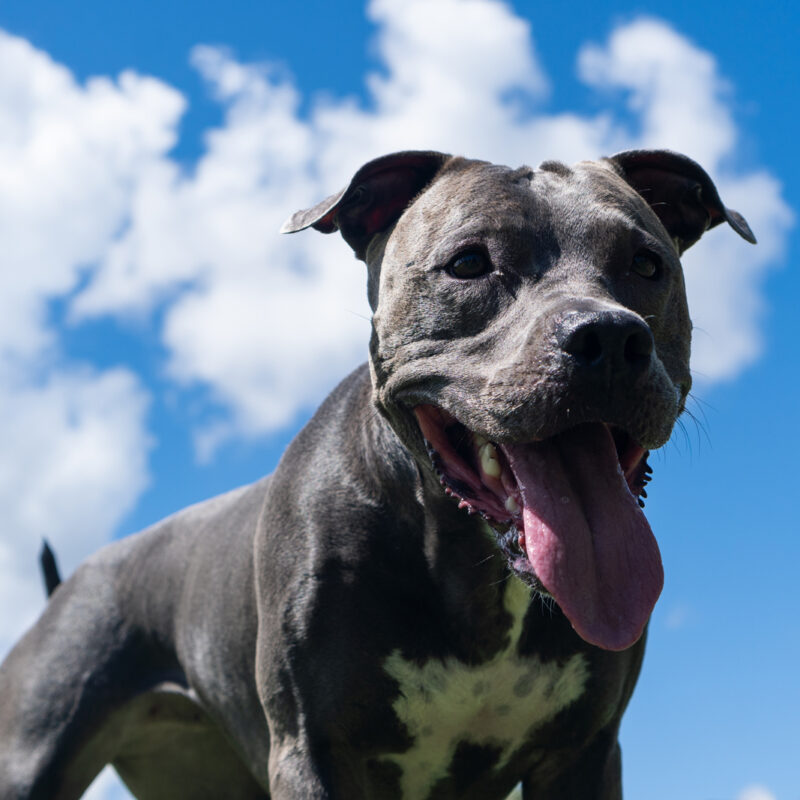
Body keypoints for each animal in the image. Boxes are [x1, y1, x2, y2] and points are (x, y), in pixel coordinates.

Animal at [0, 147, 752, 796]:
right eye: (469, 263)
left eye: (647, 264)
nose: (610, 337)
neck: (472, 570)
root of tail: (71, 584)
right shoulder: (312, 751)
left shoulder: (585, 756)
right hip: (33, 752)